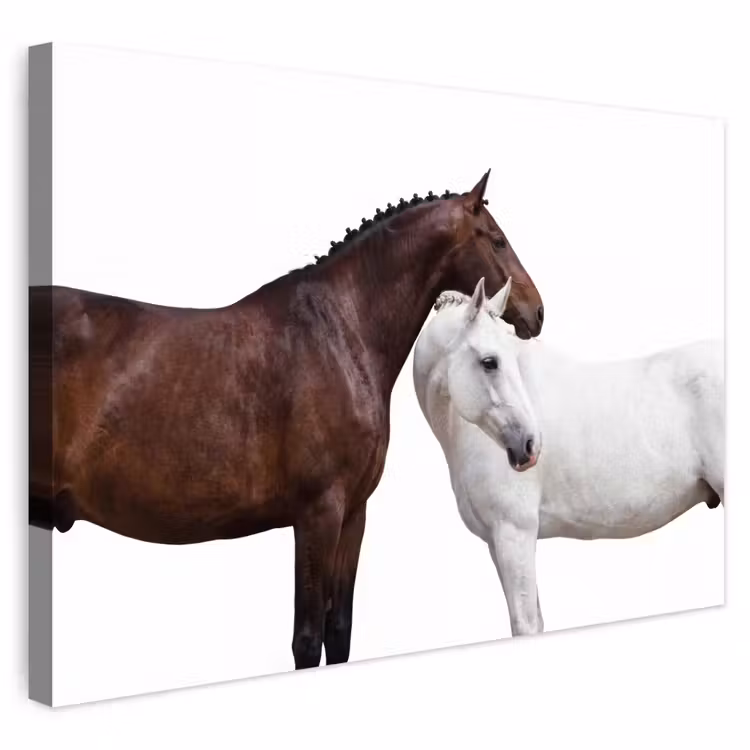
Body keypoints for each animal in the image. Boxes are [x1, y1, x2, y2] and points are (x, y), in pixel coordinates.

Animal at [29, 170, 545, 670]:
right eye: (497, 240)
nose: (537, 311)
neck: (339, 333)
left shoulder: (352, 515)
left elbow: (339, 635)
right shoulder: (318, 513)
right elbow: (308, 640)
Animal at [412, 277, 724, 636]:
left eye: (504, 359)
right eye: (490, 361)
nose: (530, 445)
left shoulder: (514, 533)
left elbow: (525, 624)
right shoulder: (498, 541)